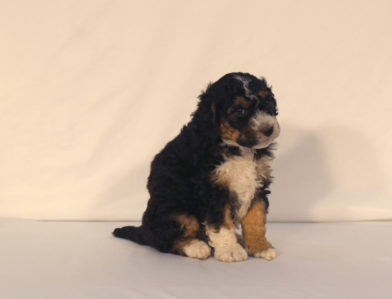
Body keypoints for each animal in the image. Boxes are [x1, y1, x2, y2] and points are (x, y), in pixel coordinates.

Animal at [112, 72, 280, 262]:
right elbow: (221, 223)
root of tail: (143, 229)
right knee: (163, 240)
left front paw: (261, 247)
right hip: (175, 212)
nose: (268, 129)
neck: (237, 148)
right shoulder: (213, 190)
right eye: (239, 111)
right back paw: (196, 247)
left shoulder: (258, 185)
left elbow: (256, 219)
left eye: (268, 103)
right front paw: (230, 250)